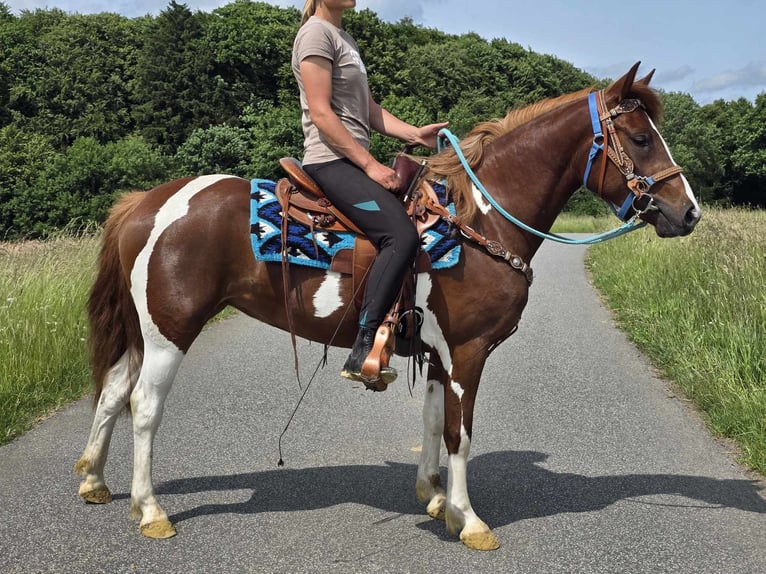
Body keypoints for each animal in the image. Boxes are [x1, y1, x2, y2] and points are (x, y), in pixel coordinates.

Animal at [74, 63, 701, 550]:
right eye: (640, 139)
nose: (688, 212)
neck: (478, 218)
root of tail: (147, 203)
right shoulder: (468, 350)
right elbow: (460, 432)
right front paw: (469, 519)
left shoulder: (438, 351)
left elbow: (432, 423)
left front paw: (434, 497)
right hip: (170, 330)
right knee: (143, 406)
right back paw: (150, 510)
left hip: (144, 330)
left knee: (112, 392)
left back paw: (95, 481)